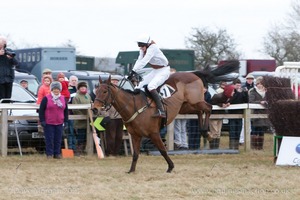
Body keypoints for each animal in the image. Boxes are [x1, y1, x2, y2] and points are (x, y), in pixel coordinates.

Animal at [93, 60, 239, 173]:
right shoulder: (135, 135)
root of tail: (193, 73)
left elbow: (162, 150)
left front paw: (170, 166)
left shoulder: (154, 133)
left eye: (104, 91)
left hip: (195, 101)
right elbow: (135, 154)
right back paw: (205, 132)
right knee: (199, 112)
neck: (133, 106)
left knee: (208, 107)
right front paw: (131, 170)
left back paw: (206, 132)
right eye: (96, 90)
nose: (95, 108)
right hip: (186, 106)